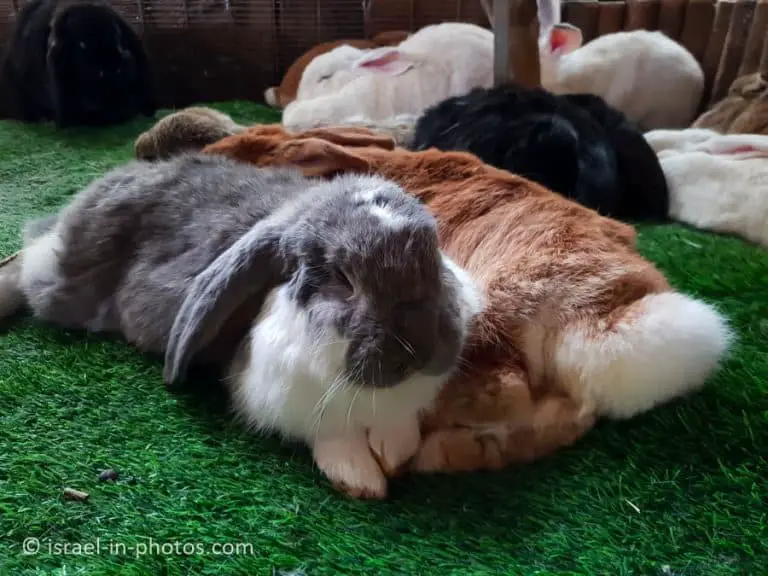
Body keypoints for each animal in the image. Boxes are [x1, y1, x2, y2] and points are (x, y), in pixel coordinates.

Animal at [0, 152, 482, 499]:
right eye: (344, 279)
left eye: (433, 255)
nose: (421, 350)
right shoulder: (282, 397)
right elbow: (331, 437)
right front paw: (359, 476)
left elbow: (401, 427)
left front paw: (394, 450)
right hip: (64, 281)